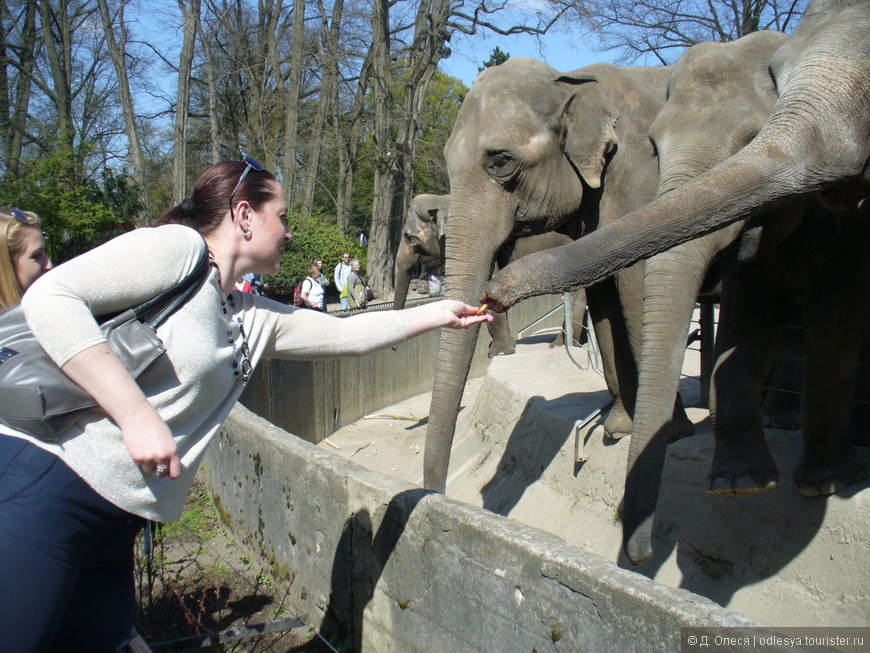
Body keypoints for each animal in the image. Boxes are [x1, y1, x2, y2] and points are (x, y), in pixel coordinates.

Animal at [424, 57, 680, 494]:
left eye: (500, 161)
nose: (434, 494)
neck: (569, 81)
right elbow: (605, 295)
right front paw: (619, 429)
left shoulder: (640, 175)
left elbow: (639, 281)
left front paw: (667, 435)